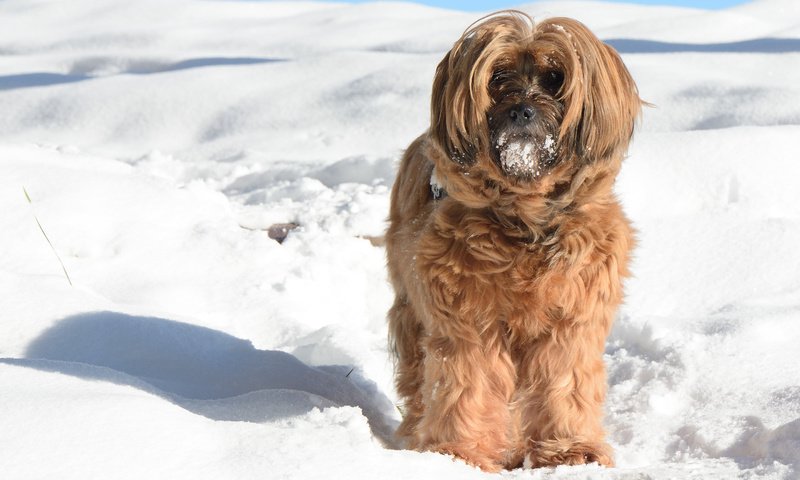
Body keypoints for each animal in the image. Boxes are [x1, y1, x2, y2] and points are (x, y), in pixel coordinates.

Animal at [384, 11, 640, 472]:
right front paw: (458, 454)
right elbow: (468, 382)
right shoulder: (467, 319)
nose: (522, 110)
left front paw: (570, 450)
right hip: (411, 310)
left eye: (555, 78)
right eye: (499, 76)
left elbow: (564, 381)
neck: (525, 220)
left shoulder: (570, 321)